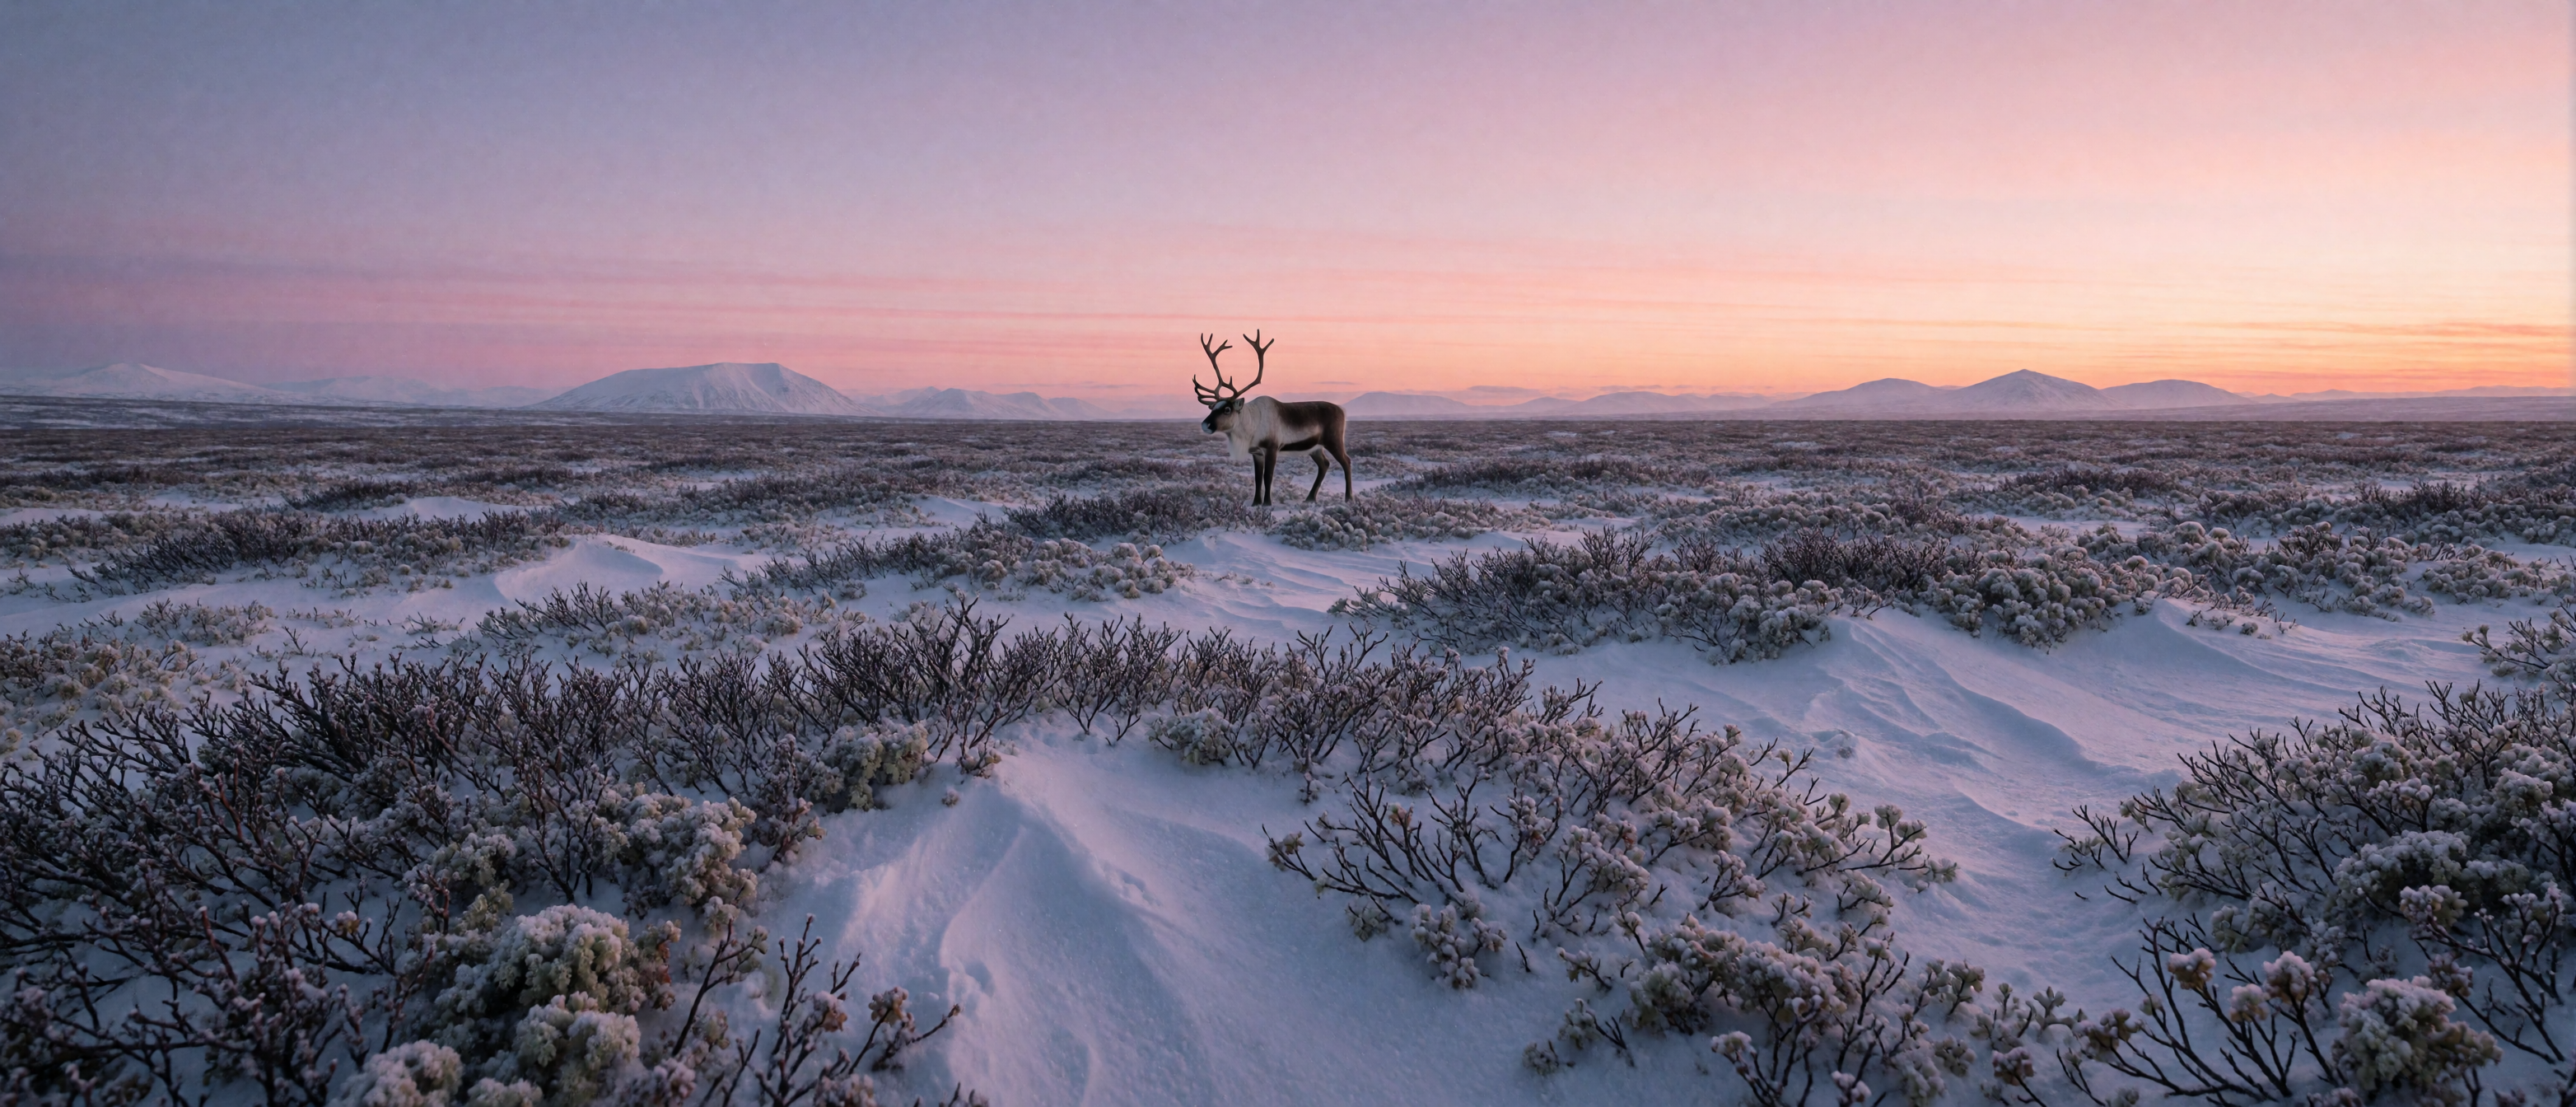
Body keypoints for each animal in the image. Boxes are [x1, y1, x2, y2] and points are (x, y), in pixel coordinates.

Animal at [1194, 330, 1352, 505]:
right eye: (1213, 407)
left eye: (1227, 409)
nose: (1205, 425)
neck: (1251, 424)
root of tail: (1342, 410)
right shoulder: (1257, 453)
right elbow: (1257, 478)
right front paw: (1255, 503)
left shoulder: (1272, 448)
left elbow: (1268, 477)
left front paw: (1267, 503)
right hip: (1315, 447)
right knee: (1324, 464)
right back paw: (1310, 498)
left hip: (1334, 440)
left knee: (1346, 461)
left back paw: (1349, 498)